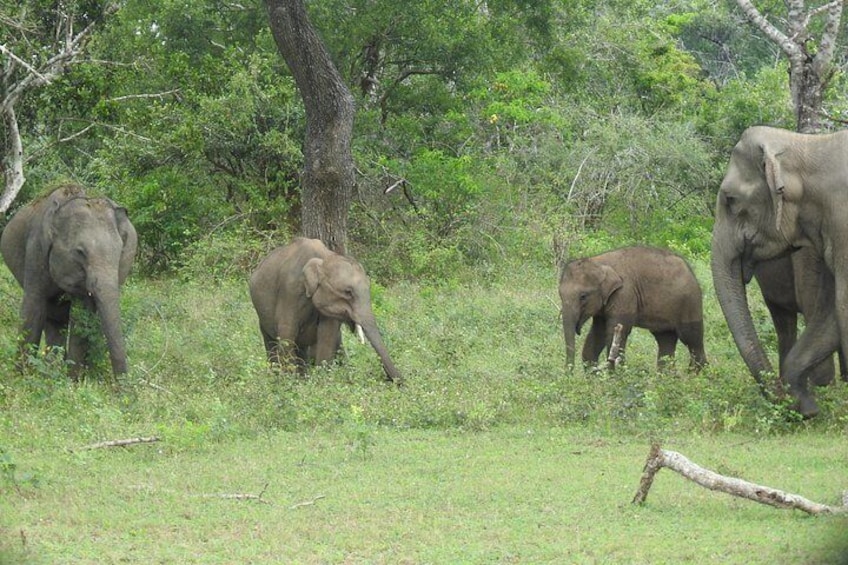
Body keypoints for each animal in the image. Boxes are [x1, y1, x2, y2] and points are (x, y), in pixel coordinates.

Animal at [0, 184, 138, 376]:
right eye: (80, 252)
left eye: (120, 252)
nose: (120, 383)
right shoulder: (36, 250)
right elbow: (33, 306)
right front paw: (21, 377)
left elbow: (81, 314)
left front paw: (72, 379)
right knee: (51, 316)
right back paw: (50, 367)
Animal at [249, 237, 401, 383]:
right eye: (348, 292)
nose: (396, 381)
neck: (324, 258)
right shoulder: (290, 291)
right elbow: (287, 334)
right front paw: (290, 382)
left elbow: (327, 335)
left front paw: (320, 381)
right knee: (271, 341)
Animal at [559, 246, 707, 371]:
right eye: (559, 294)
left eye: (583, 296)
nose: (569, 373)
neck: (598, 261)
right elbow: (598, 334)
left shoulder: (625, 293)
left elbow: (615, 332)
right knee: (665, 339)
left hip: (690, 303)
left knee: (692, 338)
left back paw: (696, 374)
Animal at [711, 125, 848, 418]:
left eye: (730, 200)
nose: (781, 398)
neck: (809, 144)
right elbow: (831, 311)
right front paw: (805, 405)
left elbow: (843, 308)